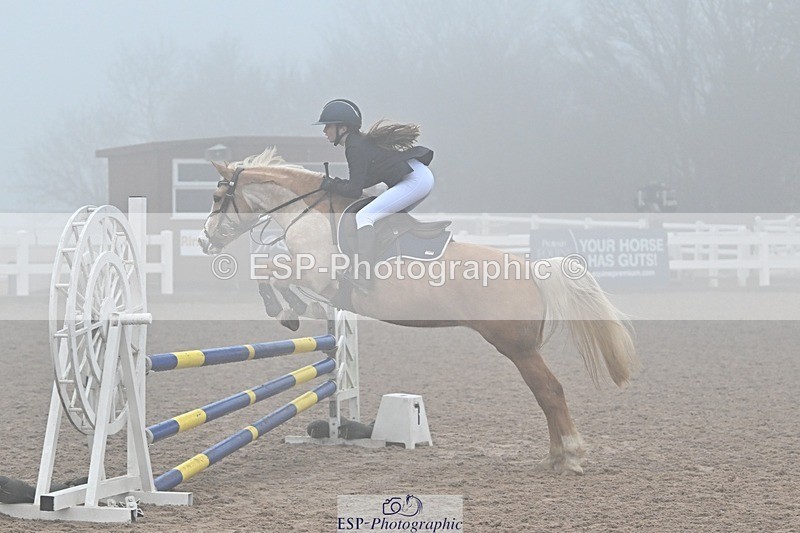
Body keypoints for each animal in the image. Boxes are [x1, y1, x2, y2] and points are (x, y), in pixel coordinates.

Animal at [197, 148, 637, 474]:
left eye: (218, 198)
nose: (203, 242)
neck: (310, 214)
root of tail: (532, 270)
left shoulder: (316, 274)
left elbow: (269, 272)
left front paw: (287, 311)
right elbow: (272, 273)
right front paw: (292, 309)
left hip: (517, 348)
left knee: (550, 392)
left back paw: (571, 456)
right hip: (520, 349)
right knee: (545, 394)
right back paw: (555, 457)